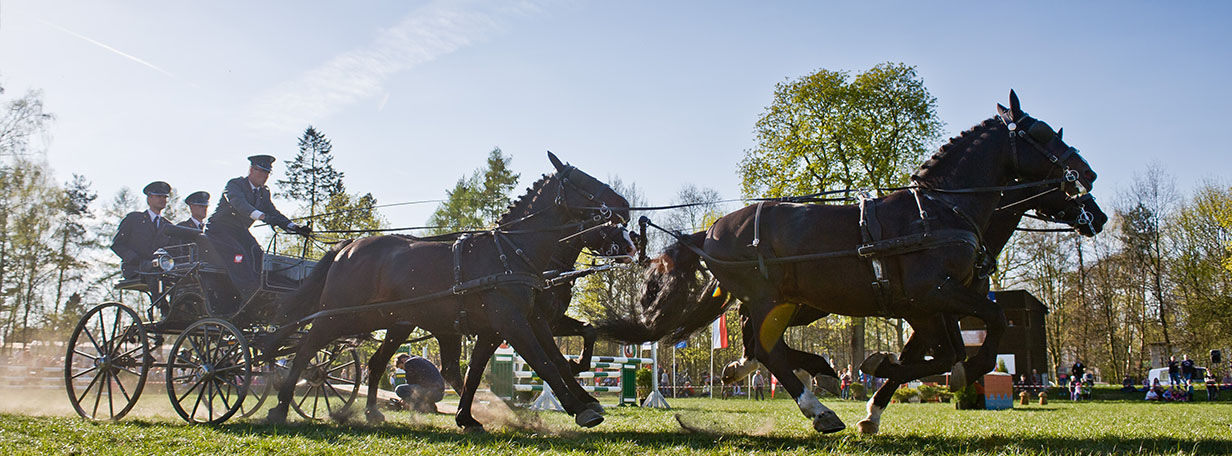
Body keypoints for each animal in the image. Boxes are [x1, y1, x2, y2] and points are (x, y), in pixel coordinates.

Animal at [269, 151, 635, 428]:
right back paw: (280, 406)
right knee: (305, 350)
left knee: (375, 363)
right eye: (582, 180)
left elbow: (482, 371)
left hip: (391, 323)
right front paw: (583, 408)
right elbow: (545, 362)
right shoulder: (514, 322)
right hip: (340, 317)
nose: (625, 207)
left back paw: (372, 411)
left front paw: (467, 417)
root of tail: (347, 246)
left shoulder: (509, 325)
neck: (510, 253)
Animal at [596, 90, 1098, 433]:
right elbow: (987, 330)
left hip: (789, 301)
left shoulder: (929, 306)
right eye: (1042, 134)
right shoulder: (934, 294)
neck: (941, 211)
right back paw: (819, 408)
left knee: (759, 343)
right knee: (768, 349)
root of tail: (711, 230)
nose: (1090, 189)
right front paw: (901, 372)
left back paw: (808, 375)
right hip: (767, 297)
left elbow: (945, 350)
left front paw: (878, 399)